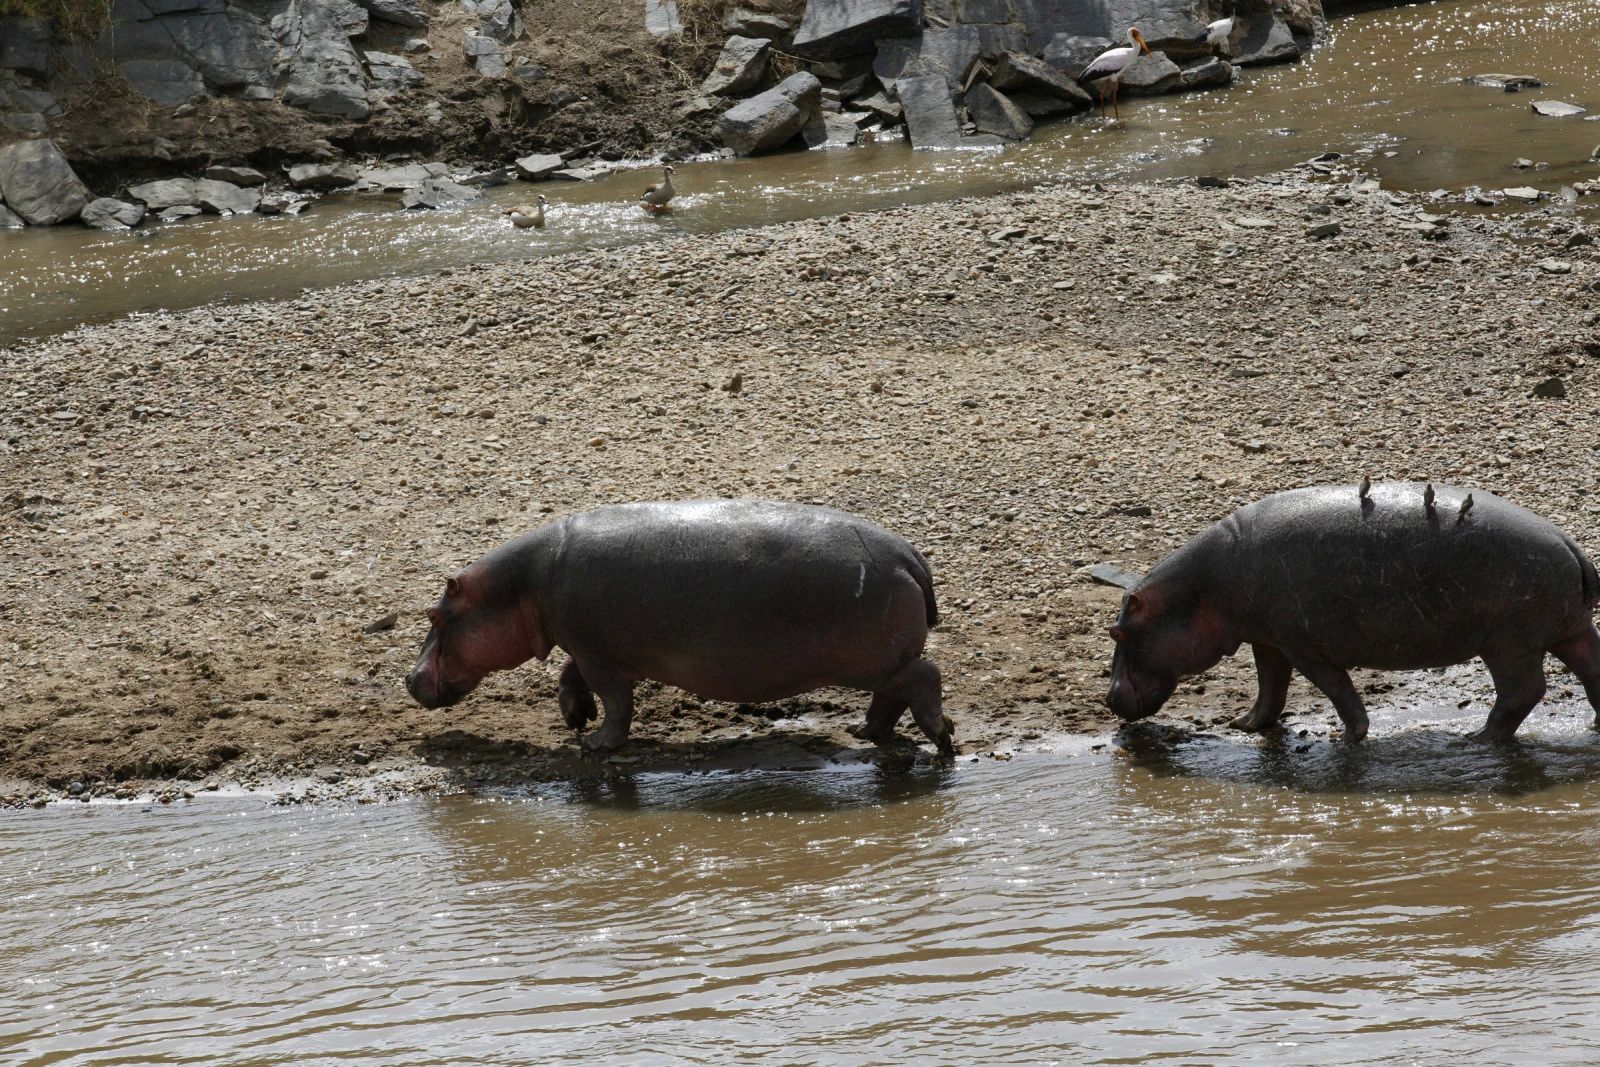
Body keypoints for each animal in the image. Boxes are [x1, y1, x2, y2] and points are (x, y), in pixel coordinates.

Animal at [1107, 483, 1600, 742]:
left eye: (1119, 634)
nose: (1109, 700)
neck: (1198, 590)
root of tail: (1569, 544)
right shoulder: (1267, 639)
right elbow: (1270, 688)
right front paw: (1244, 724)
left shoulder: (1301, 645)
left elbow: (1333, 687)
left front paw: (1348, 736)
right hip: (1570, 630)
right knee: (1590, 670)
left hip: (1510, 645)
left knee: (1523, 691)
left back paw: (1478, 738)